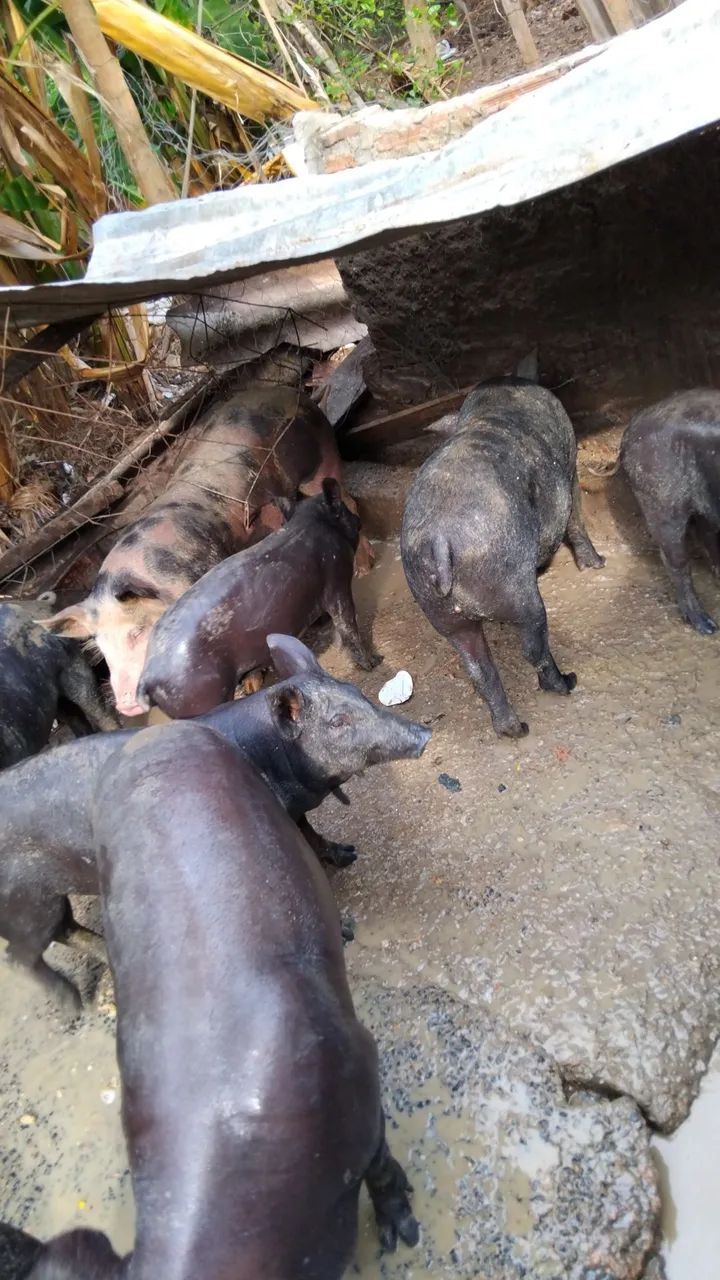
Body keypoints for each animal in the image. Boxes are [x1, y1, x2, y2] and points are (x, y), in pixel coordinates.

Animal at [0, 634, 430, 1011]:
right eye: (339, 720)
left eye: (359, 693)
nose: (424, 732)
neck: (275, 759)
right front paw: (344, 933)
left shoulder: (294, 810)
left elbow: (312, 833)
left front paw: (348, 854)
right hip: (25, 902)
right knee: (19, 956)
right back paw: (74, 1006)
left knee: (64, 930)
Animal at [3, 723, 418, 1280]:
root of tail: (153, 735)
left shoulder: (363, 1092)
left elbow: (383, 1165)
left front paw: (402, 1236)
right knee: (32, 947)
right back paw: (72, 1001)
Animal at [138, 478, 380, 720]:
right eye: (345, 510)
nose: (358, 519)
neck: (312, 521)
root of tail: (148, 676)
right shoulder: (337, 577)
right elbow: (347, 624)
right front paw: (373, 663)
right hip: (201, 695)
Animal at [401, 376, 605, 738]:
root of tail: (437, 540)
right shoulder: (570, 470)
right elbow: (577, 518)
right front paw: (597, 564)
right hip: (512, 587)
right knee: (532, 646)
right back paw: (566, 683)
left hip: (441, 613)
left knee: (478, 670)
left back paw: (515, 729)